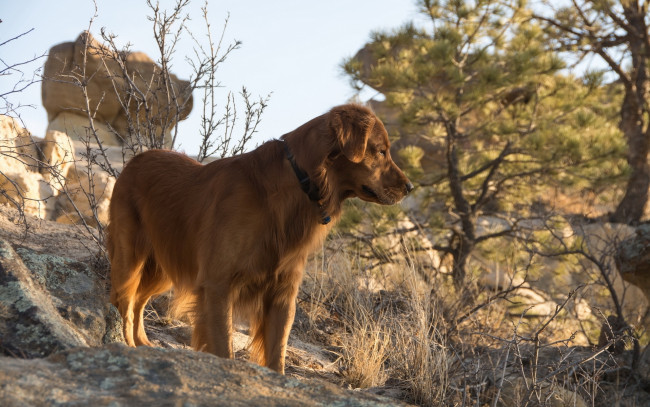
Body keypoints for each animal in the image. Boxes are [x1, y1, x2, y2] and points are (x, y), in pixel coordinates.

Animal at [105, 104, 410, 372]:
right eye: (381, 151)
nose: (409, 187)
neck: (300, 183)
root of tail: (135, 160)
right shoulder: (218, 285)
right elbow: (224, 347)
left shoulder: (282, 294)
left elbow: (277, 356)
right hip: (131, 258)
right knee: (124, 302)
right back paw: (125, 346)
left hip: (164, 266)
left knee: (138, 302)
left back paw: (142, 345)